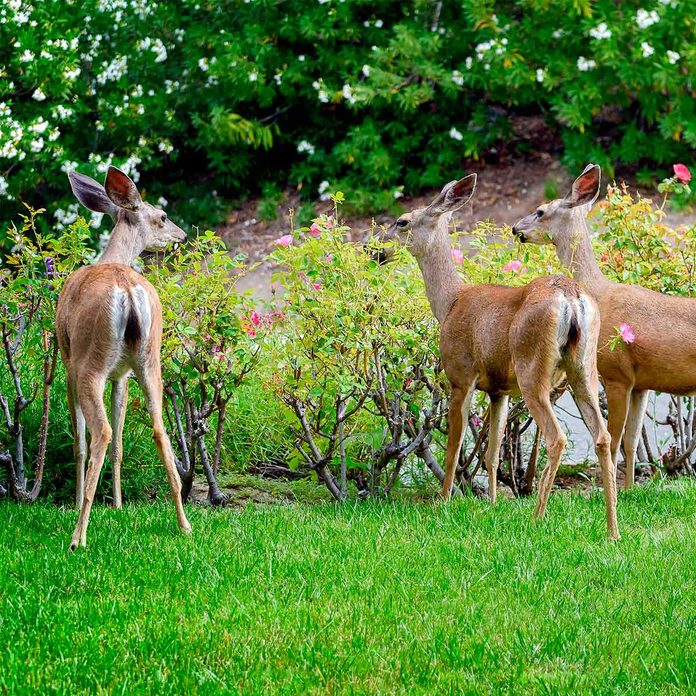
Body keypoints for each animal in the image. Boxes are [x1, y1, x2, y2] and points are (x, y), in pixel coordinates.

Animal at [56, 166, 191, 550]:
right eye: (163, 217)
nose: (182, 235)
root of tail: (128, 290)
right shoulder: (122, 374)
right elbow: (119, 441)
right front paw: (116, 505)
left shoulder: (68, 361)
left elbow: (80, 442)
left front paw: (77, 503)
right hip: (149, 360)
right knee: (158, 429)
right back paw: (184, 524)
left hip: (90, 362)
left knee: (99, 433)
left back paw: (78, 535)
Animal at [380, 174, 619, 539]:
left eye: (402, 221)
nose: (377, 249)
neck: (449, 303)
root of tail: (571, 295)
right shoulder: (498, 390)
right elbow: (492, 452)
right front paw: (492, 503)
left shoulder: (460, 374)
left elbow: (453, 449)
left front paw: (443, 503)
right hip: (584, 368)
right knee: (603, 436)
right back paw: (612, 529)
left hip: (532, 368)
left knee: (557, 437)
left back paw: (537, 519)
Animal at [512, 163, 696, 489]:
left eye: (541, 210)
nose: (515, 228)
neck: (600, 293)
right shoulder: (641, 383)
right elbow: (632, 441)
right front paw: (631, 488)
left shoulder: (617, 373)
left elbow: (613, 441)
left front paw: (611, 491)